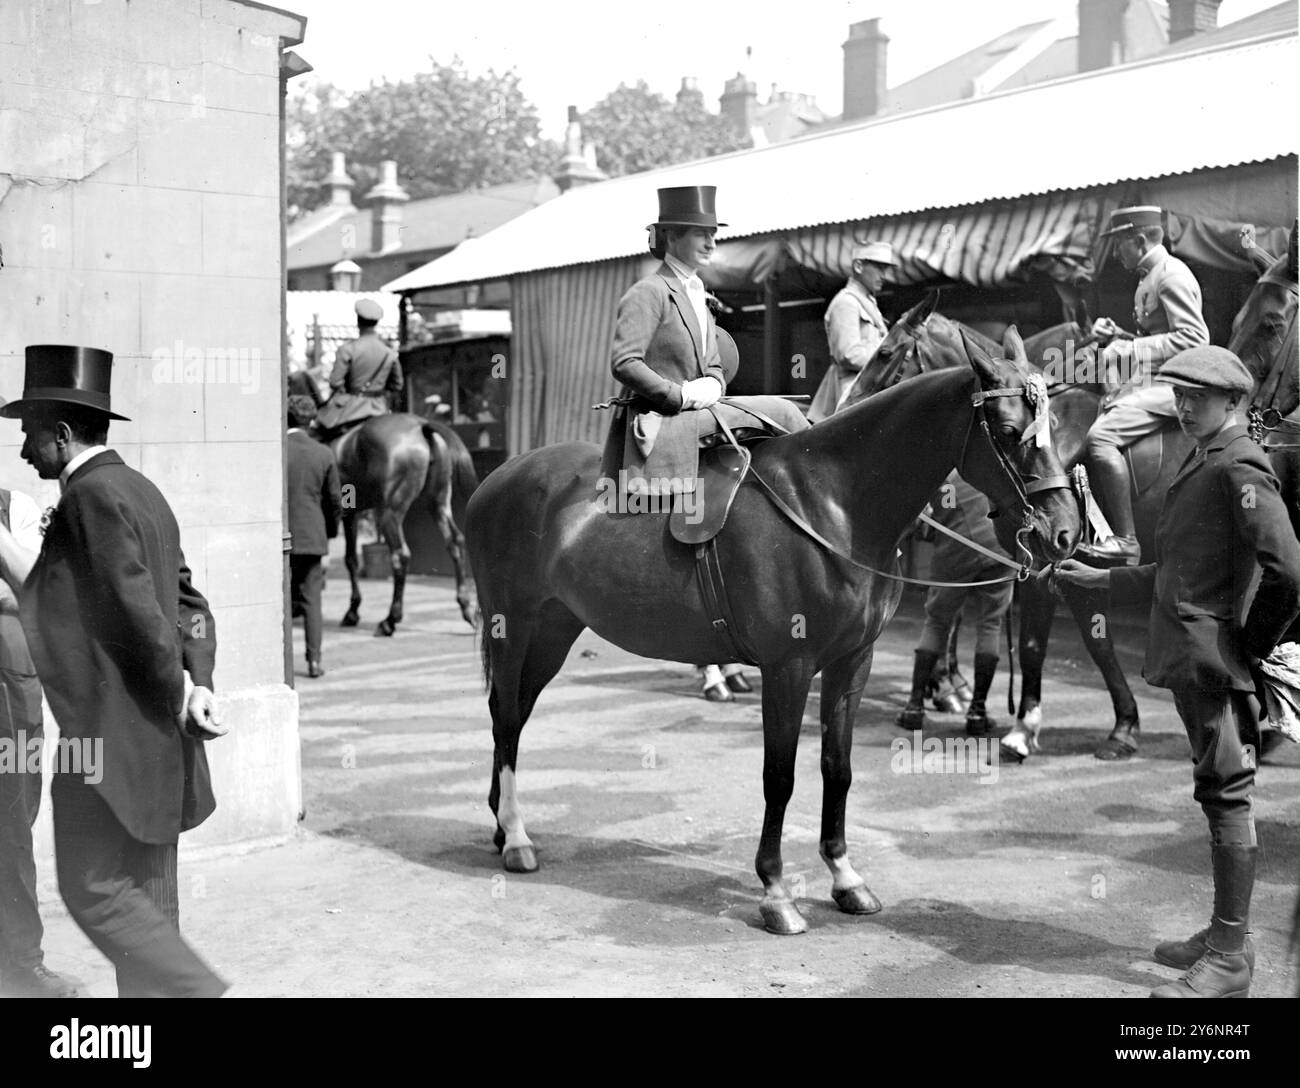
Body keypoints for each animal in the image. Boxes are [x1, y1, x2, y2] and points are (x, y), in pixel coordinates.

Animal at [332, 415, 480, 636]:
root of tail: (420, 426)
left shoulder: (344, 516)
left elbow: (346, 560)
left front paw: (352, 612)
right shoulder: (351, 514)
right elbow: (350, 559)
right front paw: (352, 611)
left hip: (389, 512)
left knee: (400, 555)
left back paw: (390, 620)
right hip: (437, 502)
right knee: (455, 542)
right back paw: (467, 610)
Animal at [467, 331, 1076, 935]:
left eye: (1053, 423)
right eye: (1008, 431)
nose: (1066, 532)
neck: (832, 505)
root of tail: (497, 478)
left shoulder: (853, 661)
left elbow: (838, 767)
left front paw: (845, 877)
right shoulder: (789, 667)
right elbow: (779, 776)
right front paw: (776, 891)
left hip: (554, 630)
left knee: (514, 716)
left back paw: (501, 824)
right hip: (513, 627)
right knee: (505, 716)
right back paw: (516, 836)